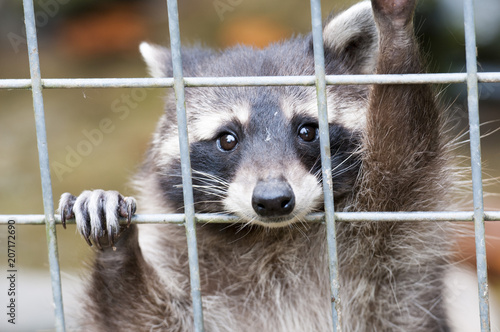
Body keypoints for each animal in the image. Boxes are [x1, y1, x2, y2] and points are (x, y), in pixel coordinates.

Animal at [60, 1, 456, 330]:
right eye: (227, 139)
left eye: (307, 130)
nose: (272, 200)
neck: (269, 236)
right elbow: (138, 319)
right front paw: (116, 248)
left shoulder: (391, 250)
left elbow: (403, 153)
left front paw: (396, 36)